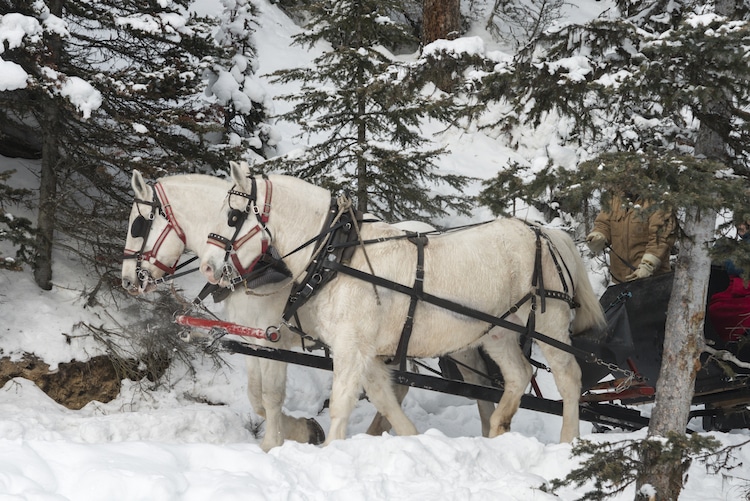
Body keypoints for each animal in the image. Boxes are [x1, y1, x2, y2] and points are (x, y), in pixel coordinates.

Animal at [121, 171, 495, 450]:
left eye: (137, 225)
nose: (127, 280)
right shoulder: (253, 339)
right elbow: (255, 396)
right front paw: (302, 430)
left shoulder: (272, 338)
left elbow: (270, 396)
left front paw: (277, 441)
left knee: (471, 381)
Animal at [199, 161, 606, 444]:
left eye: (232, 216)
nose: (206, 267)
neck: (336, 255)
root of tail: (545, 232)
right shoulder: (364, 349)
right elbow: (384, 396)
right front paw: (412, 438)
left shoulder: (351, 346)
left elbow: (343, 401)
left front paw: (331, 448)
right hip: (496, 332)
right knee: (519, 375)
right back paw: (496, 429)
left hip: (549, 323)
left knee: (569, 378)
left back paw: (568, 441)